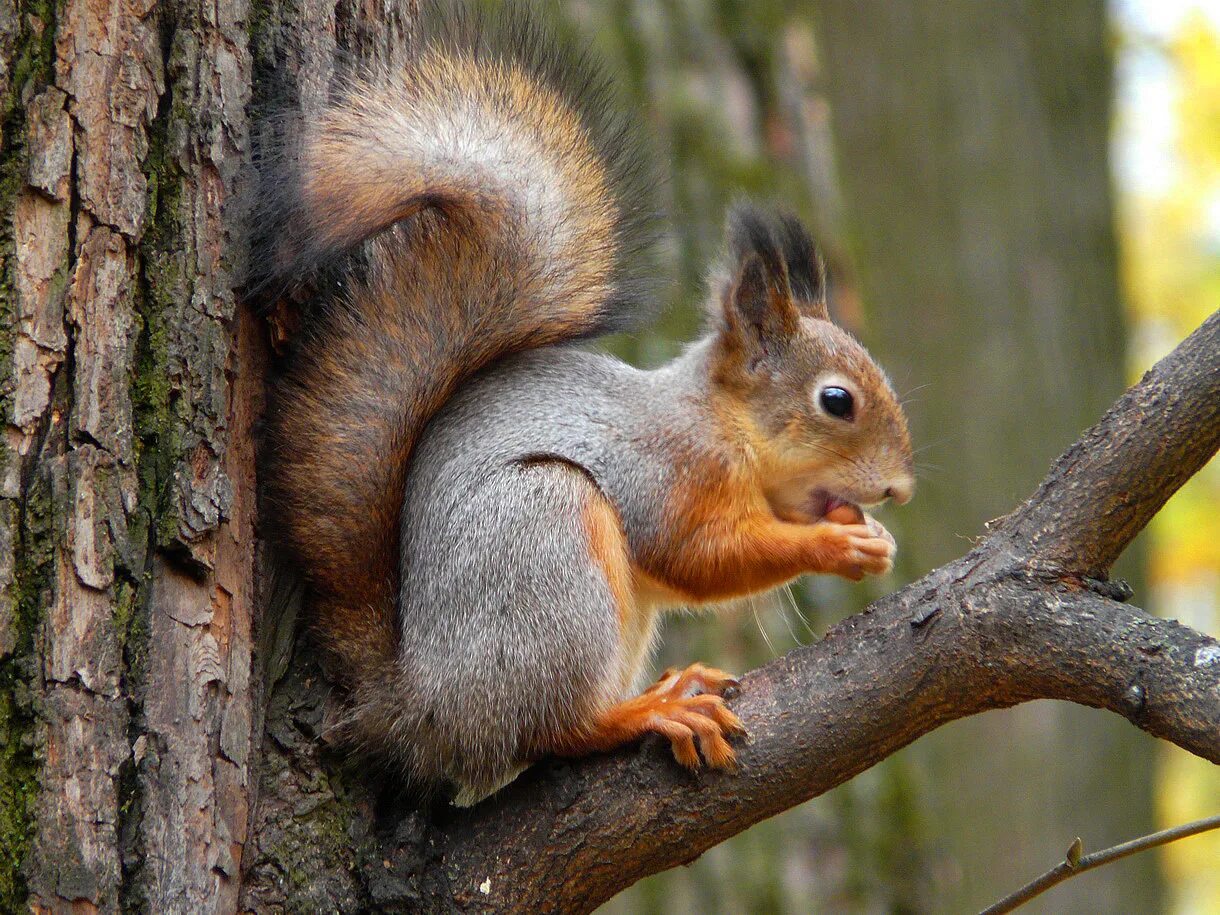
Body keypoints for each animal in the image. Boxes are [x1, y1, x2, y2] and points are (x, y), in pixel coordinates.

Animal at [252, 3, 912, 800]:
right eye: (836, 400)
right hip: (547, 542)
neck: (722, 424)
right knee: (551, 730)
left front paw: (867, 531)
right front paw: (836, 544)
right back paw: (646, 712)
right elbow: (701, 556)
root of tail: (425, 709)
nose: (899, 487)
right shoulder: (668, 471)